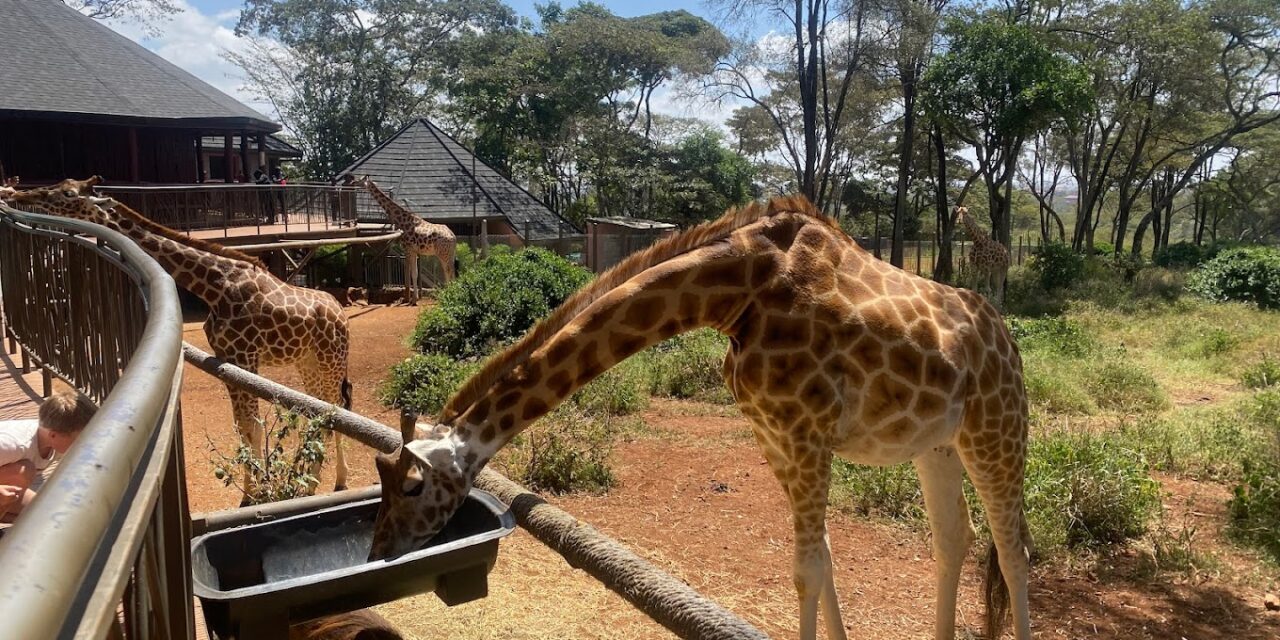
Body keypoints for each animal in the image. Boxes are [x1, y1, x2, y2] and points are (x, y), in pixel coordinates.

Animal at [5, 177, 353, 496]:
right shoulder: (229, 359)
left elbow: (252, 426)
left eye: (68, 193)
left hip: (331, 360)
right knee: (318, 411)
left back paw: (330, 481)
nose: (15, 193)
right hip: (307, 362)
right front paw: (253, 491)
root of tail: (340, 312)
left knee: (336, 409)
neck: (215, 287)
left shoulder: (246, 357)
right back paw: (307, 477)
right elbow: (242, 426)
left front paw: (256, 494)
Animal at [369, 196, 1033, 640]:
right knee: (954, 539)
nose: (378, 551)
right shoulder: (777, 438)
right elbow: (823, 566)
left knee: (1011, 551)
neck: (735, 293)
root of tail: (1005, 338)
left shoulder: (806, 436)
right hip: (935, 444)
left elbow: (807, 572)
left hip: (997, 428)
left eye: (412, 485)